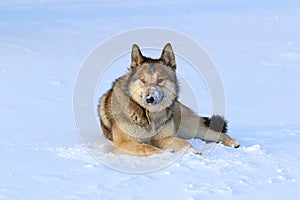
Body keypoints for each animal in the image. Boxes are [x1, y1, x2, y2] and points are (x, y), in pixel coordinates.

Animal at [98, 43, 239, 156]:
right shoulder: (125, 143)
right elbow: (147, 147)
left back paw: (232, 142)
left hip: (187, 128)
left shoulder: (164, 138)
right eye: (143, 80)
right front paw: (166, 153)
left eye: (160, 80)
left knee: (215, 133)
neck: (150, 116)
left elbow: (185, 144)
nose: (149, 99)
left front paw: (193, 152)